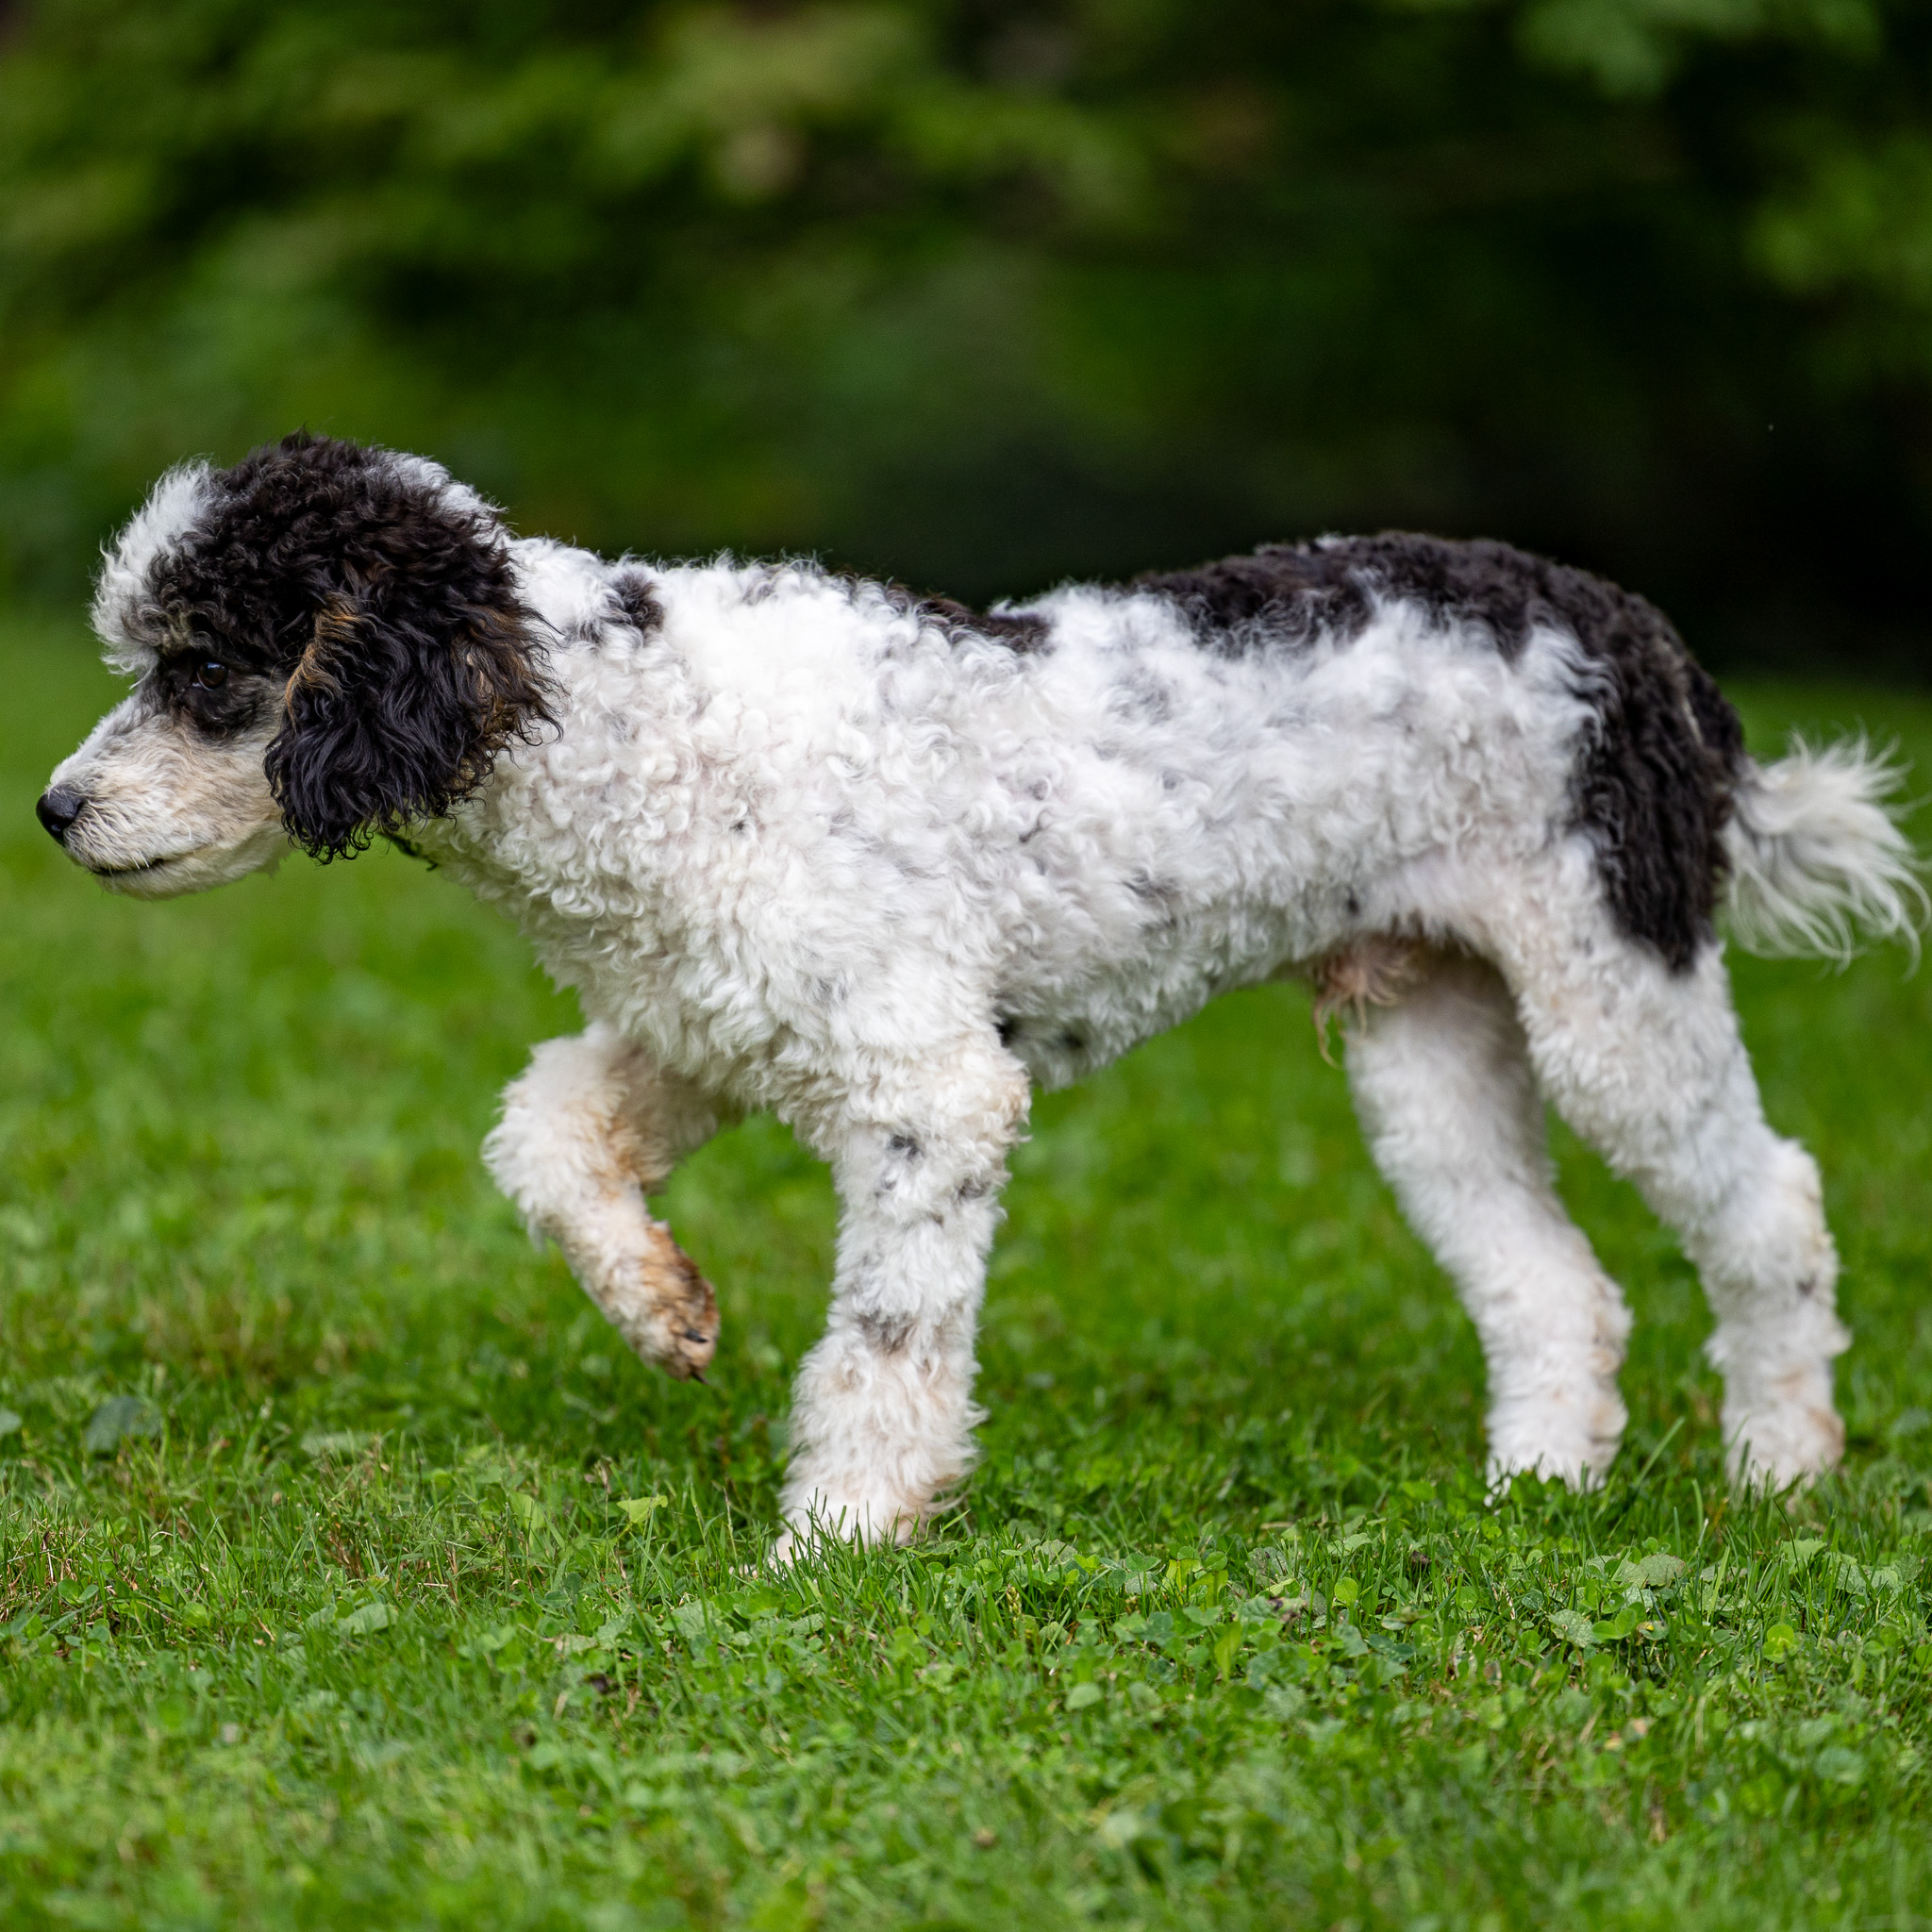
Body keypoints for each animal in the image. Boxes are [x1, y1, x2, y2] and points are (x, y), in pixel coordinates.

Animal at [37, 438, 1924, 1553]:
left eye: (204, 669)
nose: (51, 809)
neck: (620, 727)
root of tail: (1650, 652)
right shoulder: (704, 1021)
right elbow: (544, 1136)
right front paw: (664, 1310)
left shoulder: (925, 1093)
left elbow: (882, 1341)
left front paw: (841, 1536)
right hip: (1429, 1042)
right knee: (1557, 1289)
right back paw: (1537, 1486)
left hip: (1614, 990)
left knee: (1770, 1208)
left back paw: (1781, 1465)